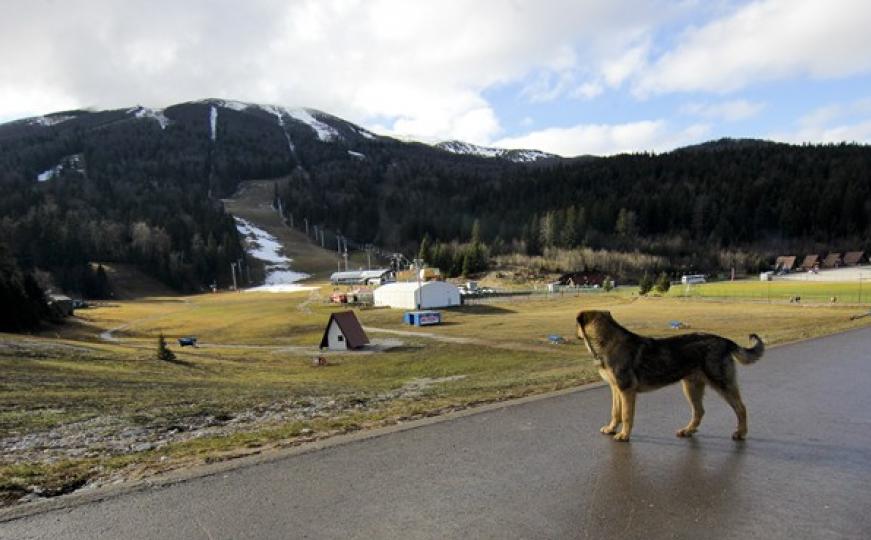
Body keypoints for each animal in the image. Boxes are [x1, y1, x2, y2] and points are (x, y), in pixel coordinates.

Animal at [576, 310, 768, 440]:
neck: (607, 341)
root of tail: (726, 341)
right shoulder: (616, 389)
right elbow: (615, 412)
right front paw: (611, 429)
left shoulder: (626, 391)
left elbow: (626, 415)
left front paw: (624, 435)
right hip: (691, 387)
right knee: (699, 411)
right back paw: (688, 430)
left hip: (721, 384)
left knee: (741, 408)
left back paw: (740, 432)